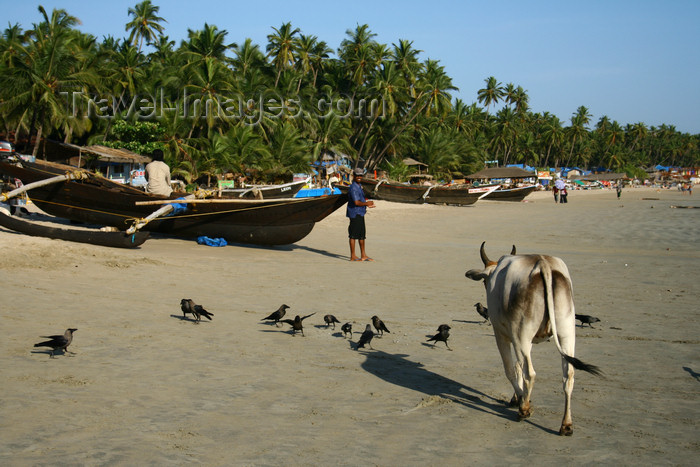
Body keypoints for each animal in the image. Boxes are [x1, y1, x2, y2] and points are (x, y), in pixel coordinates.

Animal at [464, 243, 600, 436]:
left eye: (485, 281)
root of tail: (543, 263)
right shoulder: (524, 341)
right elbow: (518, 366)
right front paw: (517, 398)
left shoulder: (503, 335)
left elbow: (511, 369)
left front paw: (520, 399)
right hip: (566, 333)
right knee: (568, 376)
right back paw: (566, 425)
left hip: (521, 335)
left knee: (530, 373)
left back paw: (524, 410)